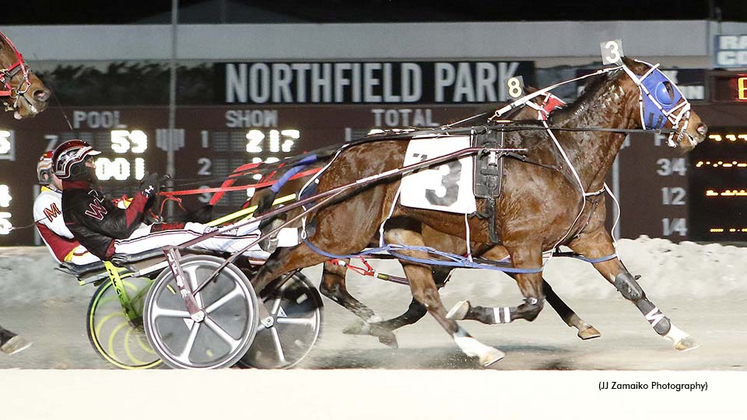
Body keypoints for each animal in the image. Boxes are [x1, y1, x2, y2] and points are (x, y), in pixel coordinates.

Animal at [250, 57, 708, 366]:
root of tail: (340, 158)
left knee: (412, 295)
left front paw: (675, 332)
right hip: (338, 234)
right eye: (666, 87)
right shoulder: (522, 245)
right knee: (278, 265)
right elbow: (532, 303)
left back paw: (463, 344)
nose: (699, 128)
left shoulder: (588, 238)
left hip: (395, 238)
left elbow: (629, 287)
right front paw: (474, 309)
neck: (561, 157)